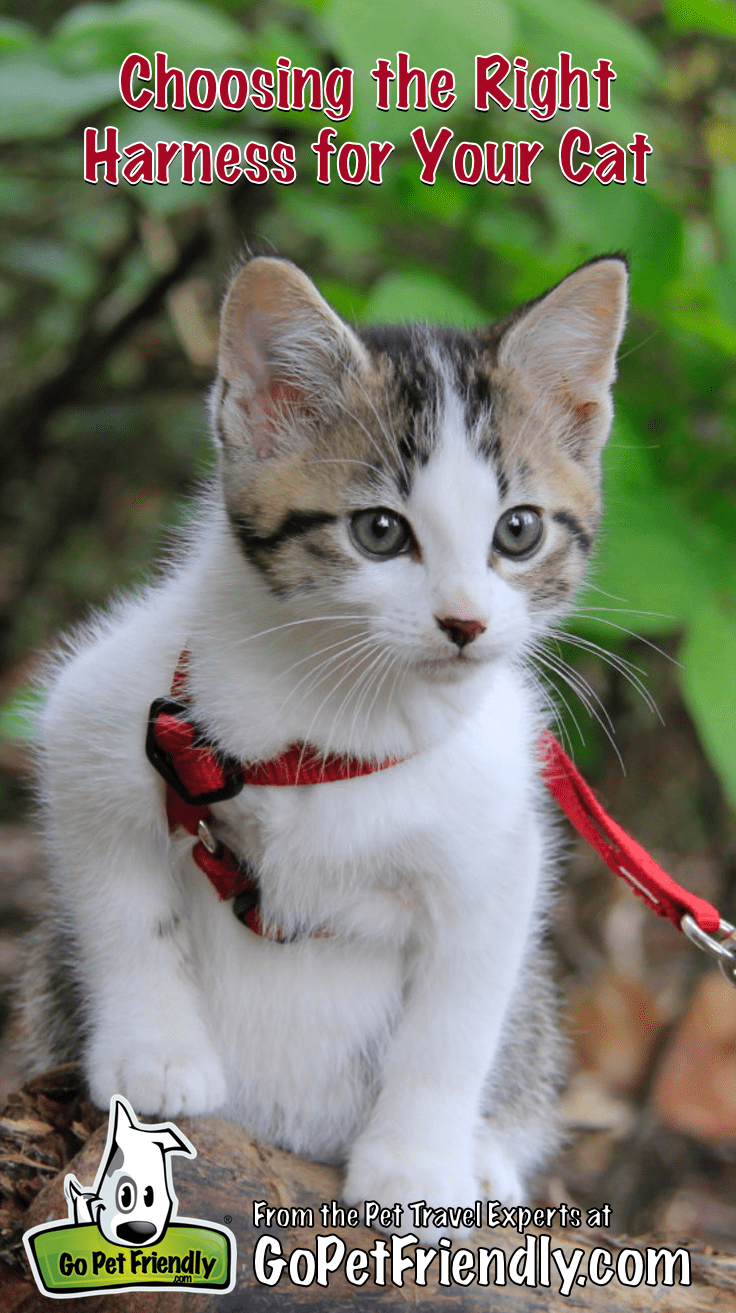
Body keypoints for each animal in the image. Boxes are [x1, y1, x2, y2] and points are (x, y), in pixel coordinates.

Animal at [17, 253, 624, 1228]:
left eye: (519, 529)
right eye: (379, 530)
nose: (465, 622)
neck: (351, 709)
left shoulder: (497, 846)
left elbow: (457, 1017)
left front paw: (418, 1162)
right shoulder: (98, 714)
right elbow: (123, 905)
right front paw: (156, 1052)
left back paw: (488, 1154)